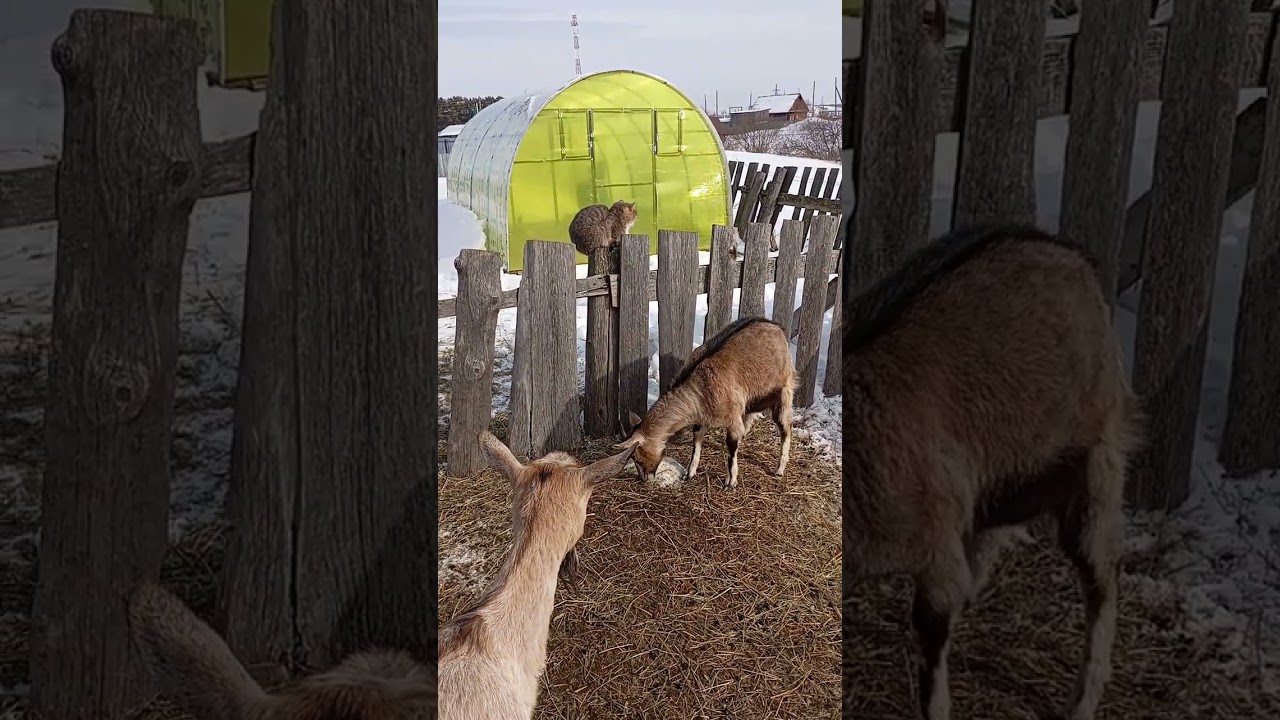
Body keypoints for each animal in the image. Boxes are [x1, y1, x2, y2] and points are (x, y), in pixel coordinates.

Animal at [620, 316, 795, 490]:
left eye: (637, 457)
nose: (644, 478)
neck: (700, 388)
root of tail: (776, 326)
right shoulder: (702, 417)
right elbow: (696, 440)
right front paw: (690, 473)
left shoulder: (732, 418)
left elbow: (731, 447)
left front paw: (731, 482)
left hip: (783, 390)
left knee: (785, 427)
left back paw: (779, 469)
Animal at [842, 224, 1138, 720]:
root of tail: (1069, 253)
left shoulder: (935, 545)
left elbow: (932, 642)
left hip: (1096, 458)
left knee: (1102, 574)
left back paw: (1083, 700)